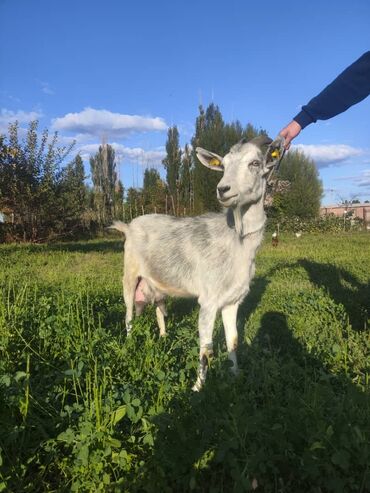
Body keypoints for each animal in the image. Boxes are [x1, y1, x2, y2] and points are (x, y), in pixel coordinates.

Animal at [110, 134, 284, 388]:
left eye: (254, 163)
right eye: (224, 165)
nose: (223, 189)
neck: (236, 240)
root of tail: (128, 226)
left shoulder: (232, 301)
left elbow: (233, 340)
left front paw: (235, 374)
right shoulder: (208, 301)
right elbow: (206, 348)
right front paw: (198, 387)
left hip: (157, 283)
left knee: (159, 309)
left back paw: (164, 336)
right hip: (129, 275)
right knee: (129, 314)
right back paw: (130, 343)